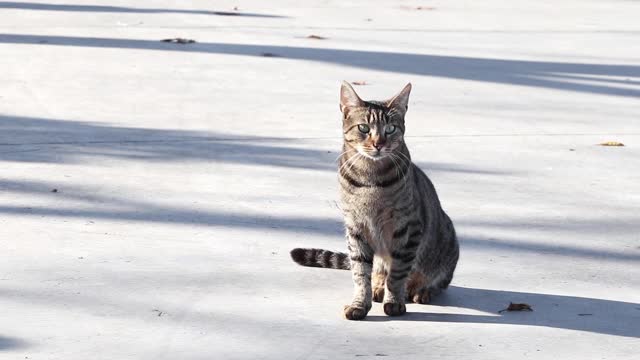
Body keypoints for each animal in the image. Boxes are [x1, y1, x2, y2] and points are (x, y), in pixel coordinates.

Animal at [290, 82, 460, 320]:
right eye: (363, 128)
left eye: (390, 129)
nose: (378, 143)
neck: (369, 179)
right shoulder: (356, 228)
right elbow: (361, 273)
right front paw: (361, 303)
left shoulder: (407, 228)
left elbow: (398, 273)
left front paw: (394, 301)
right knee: (378, 270)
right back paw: (379, 286)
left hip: (446, 242)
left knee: (434, 279)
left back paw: (421, 289)